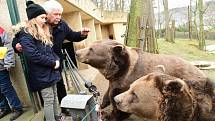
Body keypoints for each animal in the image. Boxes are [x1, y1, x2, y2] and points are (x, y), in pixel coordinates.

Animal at [75, 40, 210, 120]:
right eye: (89, 45)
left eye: (91, 49)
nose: (77, 53)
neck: (119, 71)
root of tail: (201, 72)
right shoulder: (115, 81)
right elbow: (108, 94)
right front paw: (101, 105)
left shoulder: (128, 80)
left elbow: (119, 102)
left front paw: (110, 115)